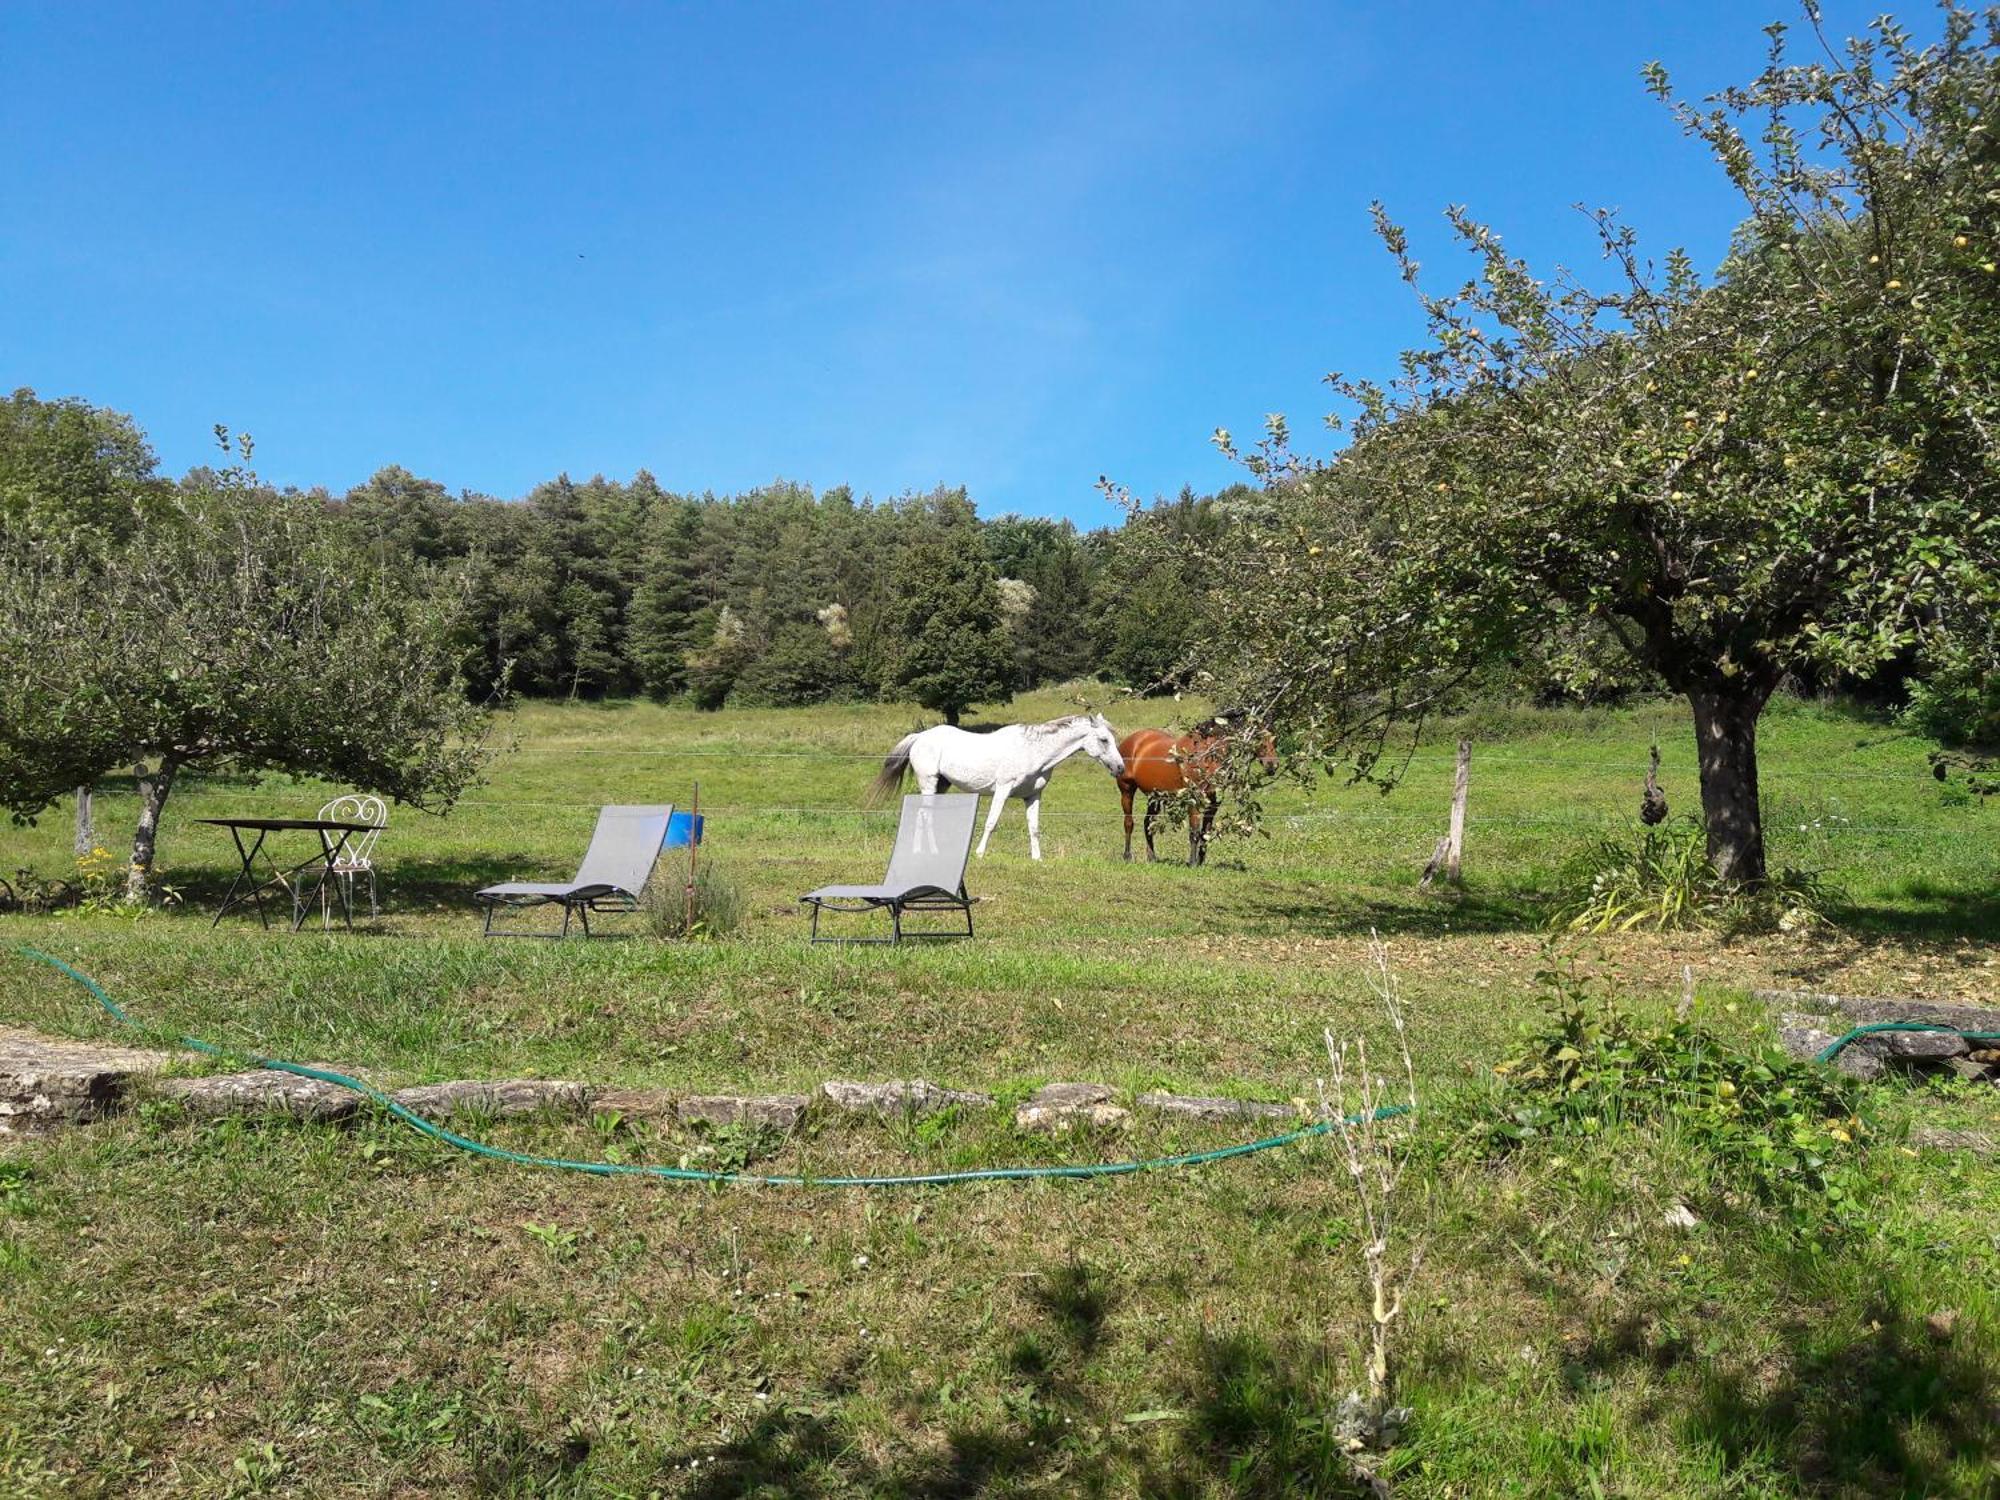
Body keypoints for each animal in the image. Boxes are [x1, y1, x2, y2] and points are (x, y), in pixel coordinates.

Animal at [872, 712, 1136, 864]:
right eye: (1104, 739)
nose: (1120, 767)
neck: (1032, 750)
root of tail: (920, 736)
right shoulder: (1003, 790)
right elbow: (991, 822)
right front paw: (979, 854)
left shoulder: (1033, 796)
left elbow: (1034, 828)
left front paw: (1037, 858)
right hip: (929, 782)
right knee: (926, 816)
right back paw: (932, 852)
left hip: (941, 785)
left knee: (921, 815)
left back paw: (920, 851)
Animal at [1120, 720, 1272, 868]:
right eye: (1259, 737)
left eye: (1273, 739)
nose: (1272, 766)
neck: (1207, 756)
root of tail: (1132, 740)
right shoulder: (1194, 801)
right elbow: (1194, 831)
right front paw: (1192, 863)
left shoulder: (1213, 803)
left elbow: (1205, 832)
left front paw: (1201, 861)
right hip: (1127, 790)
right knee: (1129, 823)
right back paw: (1127, 856)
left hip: (1155, 797)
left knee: (1148, 823)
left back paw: (1152, 857)